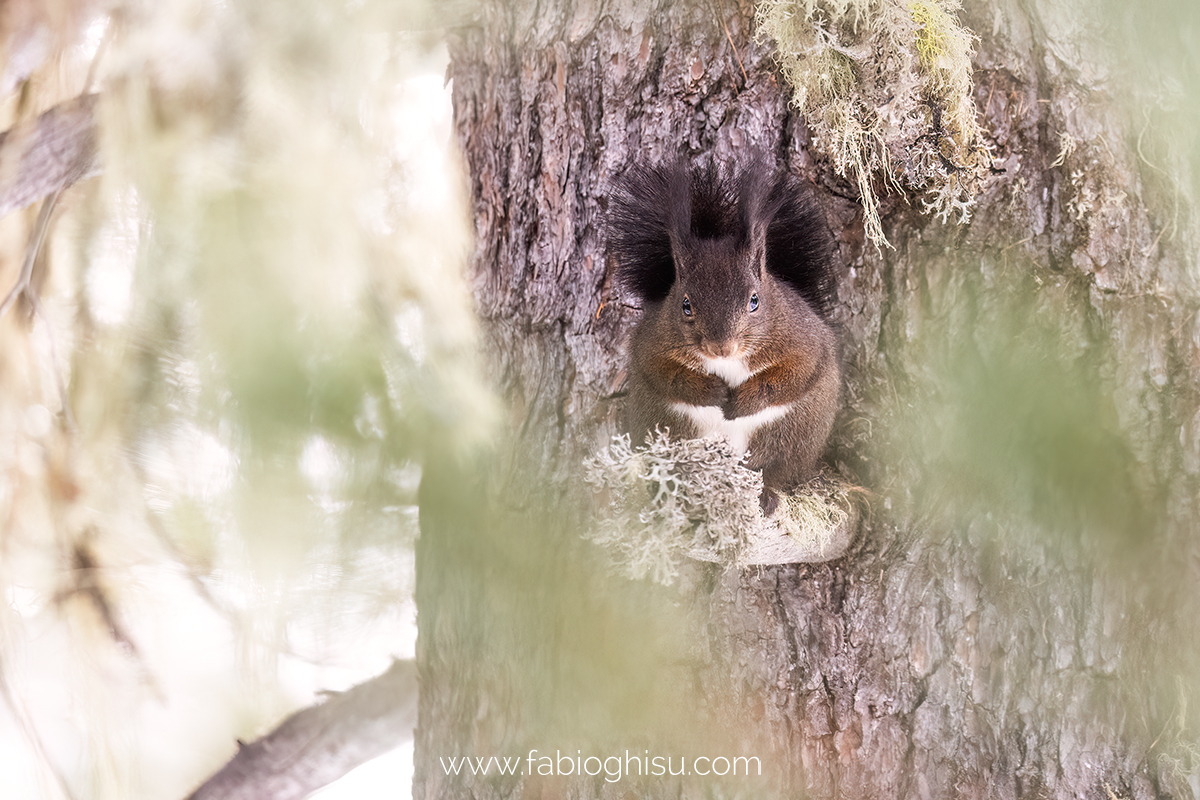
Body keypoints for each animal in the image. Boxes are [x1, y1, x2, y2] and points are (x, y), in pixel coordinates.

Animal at [609, 159, 835, 513]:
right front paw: (711, 390)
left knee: (778, 470)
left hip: (797, 432)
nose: (720, 348)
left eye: (755, 300)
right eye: (685, 304)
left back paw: (766, 494)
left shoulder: (805, 341)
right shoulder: (651, 343)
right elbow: (663, 375)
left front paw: (744, 399)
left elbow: (793, 375)